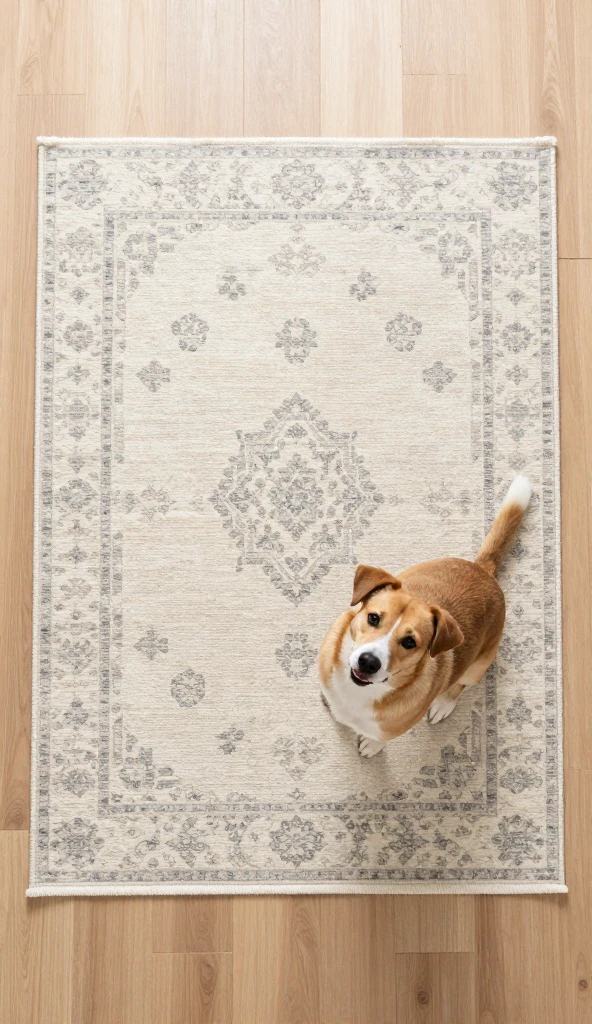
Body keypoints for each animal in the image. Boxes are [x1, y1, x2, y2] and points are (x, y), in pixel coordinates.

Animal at [318, 475, 532, 758]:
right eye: (374, 618)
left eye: (410, 642)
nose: (368, 662)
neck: (358, 693)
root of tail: (484, 569)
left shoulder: (391, 728)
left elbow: (379, 738)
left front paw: (372, 745)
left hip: (477, 666)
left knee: (459, 686)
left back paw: (443, 704)